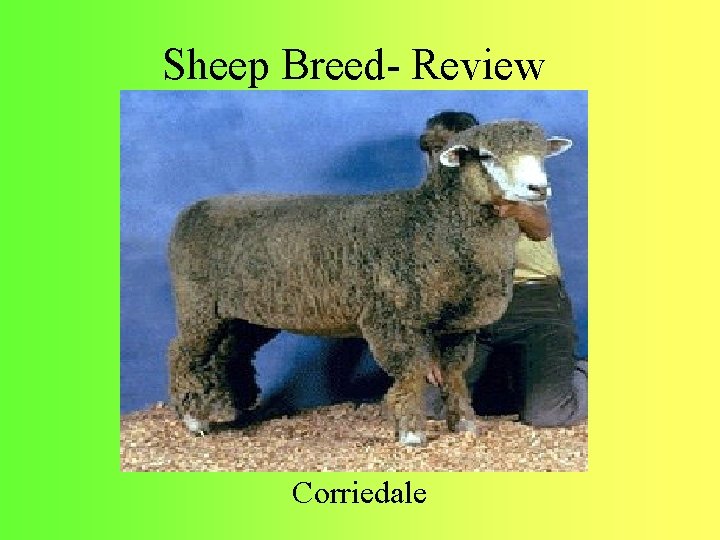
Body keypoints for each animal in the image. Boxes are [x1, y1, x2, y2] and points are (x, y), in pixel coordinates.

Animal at [166, 119, 572, 446]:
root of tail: (192, 210)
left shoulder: (459, 324)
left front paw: (464, 425)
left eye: (542, 154)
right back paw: (194, 420)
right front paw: (411, 433)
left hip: (245, 314)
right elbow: (411, 372)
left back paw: (231, 409)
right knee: (181, 354)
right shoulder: (391, 317)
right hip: (199, 305)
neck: (430, 222)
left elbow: (455, 374)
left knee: (228, 354)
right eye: (486, 156)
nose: (538, 189)